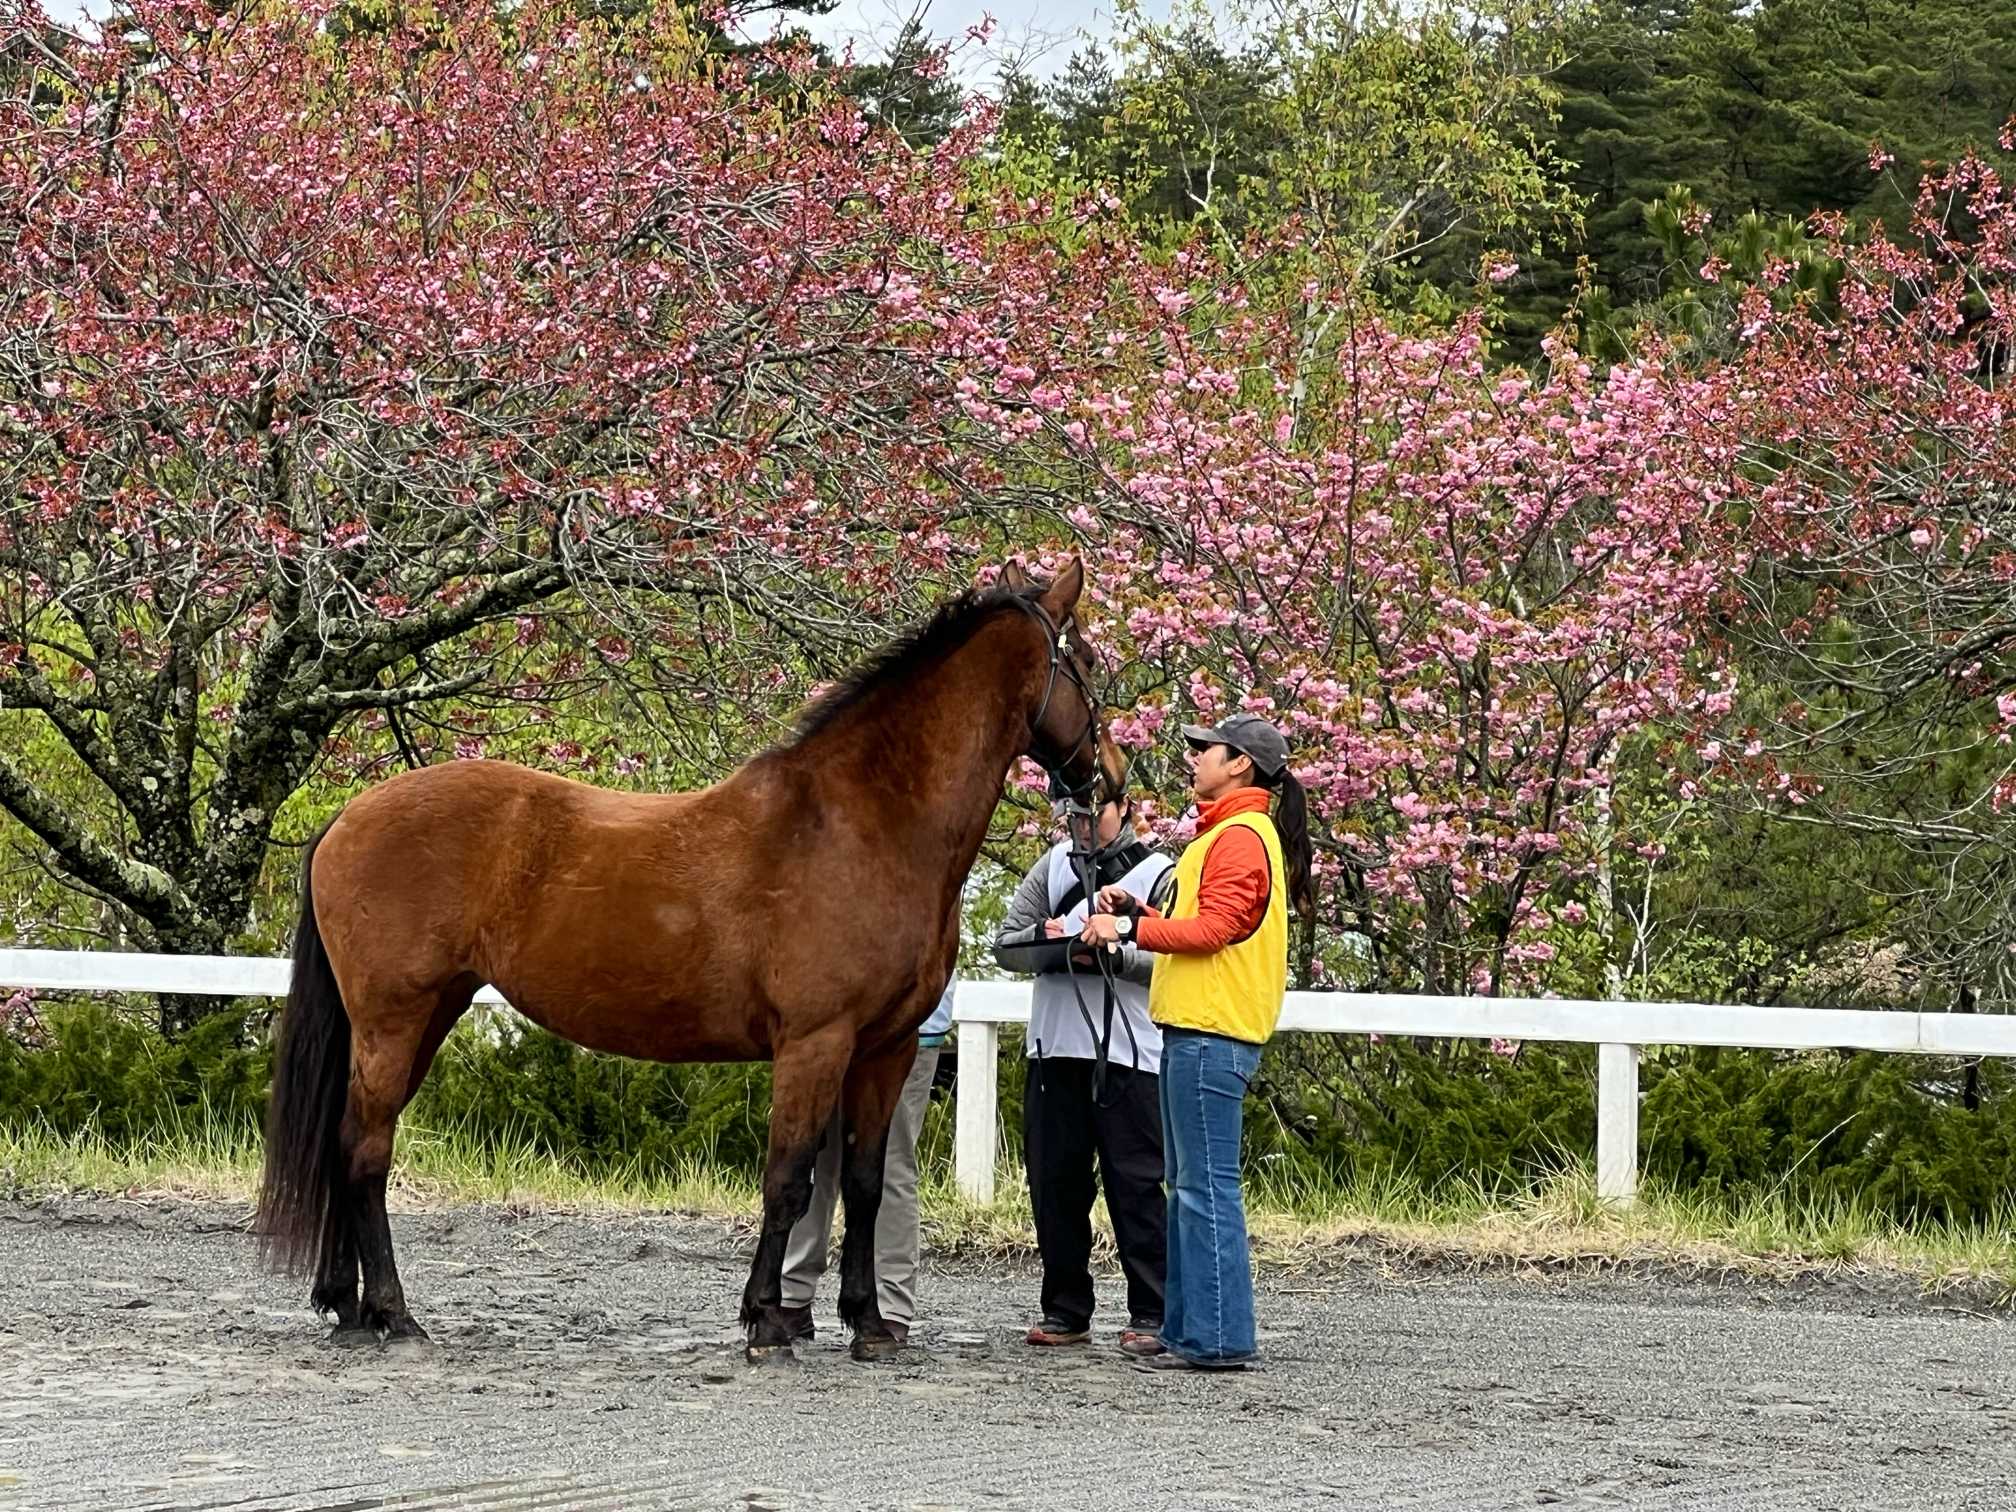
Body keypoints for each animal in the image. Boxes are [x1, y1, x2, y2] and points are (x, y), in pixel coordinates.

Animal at [256, 558, 1122, 1361]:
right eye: (1085, 662)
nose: (1111, 781)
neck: (861, 823)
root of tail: (347, 818)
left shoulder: (886, 1048)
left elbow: (866, 1186)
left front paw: (869, 1325)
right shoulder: (814, 1044)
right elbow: (789, 1181)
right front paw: (765, 1322)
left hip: (425, 1017)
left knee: (346, 1143)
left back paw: (347, 1304)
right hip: (394, 1021)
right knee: (364, 1152)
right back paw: (393, 1313)